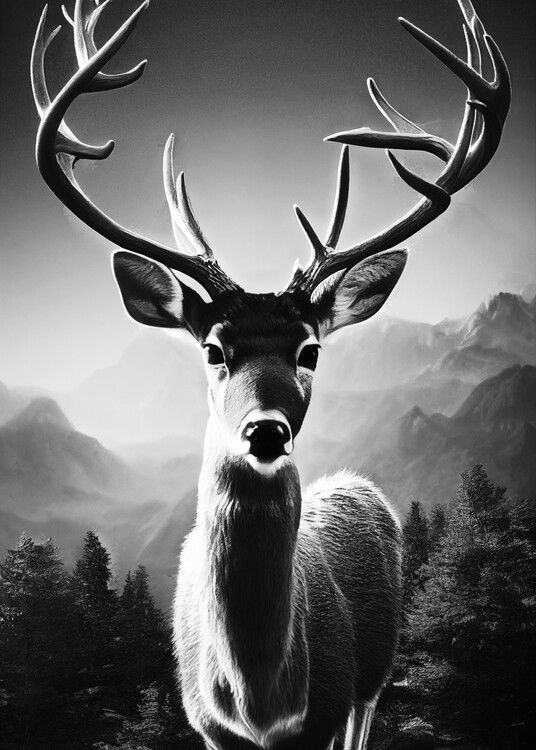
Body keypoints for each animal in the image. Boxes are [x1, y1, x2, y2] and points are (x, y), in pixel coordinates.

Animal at [31, 1, 510, 748]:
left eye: (310, 350)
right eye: (212, 349)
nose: (265, 431)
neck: (259, 698)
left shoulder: (328, 709)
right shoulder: (205, 725)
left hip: (371, 680)